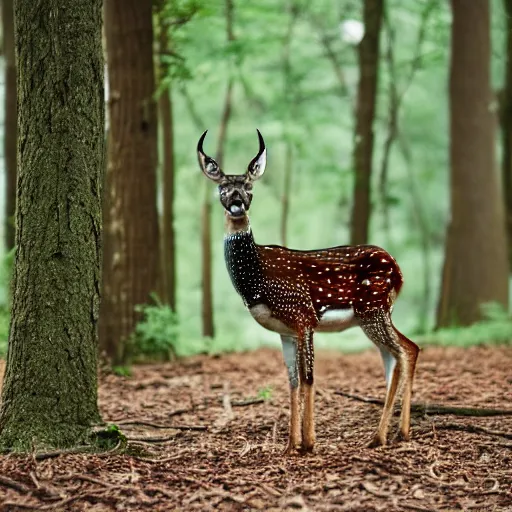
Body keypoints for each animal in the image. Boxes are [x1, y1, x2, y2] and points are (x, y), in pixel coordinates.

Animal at [197, 130, 420, 454]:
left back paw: (382, 436)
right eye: (223, 187)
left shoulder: (303, 314)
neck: (258, 281)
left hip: (372, 309)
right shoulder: (284, 329)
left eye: (249, 186)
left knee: (401, 352)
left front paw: (309, 442)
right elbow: (291, 380)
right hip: (378, 312)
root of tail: (398, 271)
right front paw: (290, 444)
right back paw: (398, 433)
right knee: (405, 351)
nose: (237, 202)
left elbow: (308, 378)